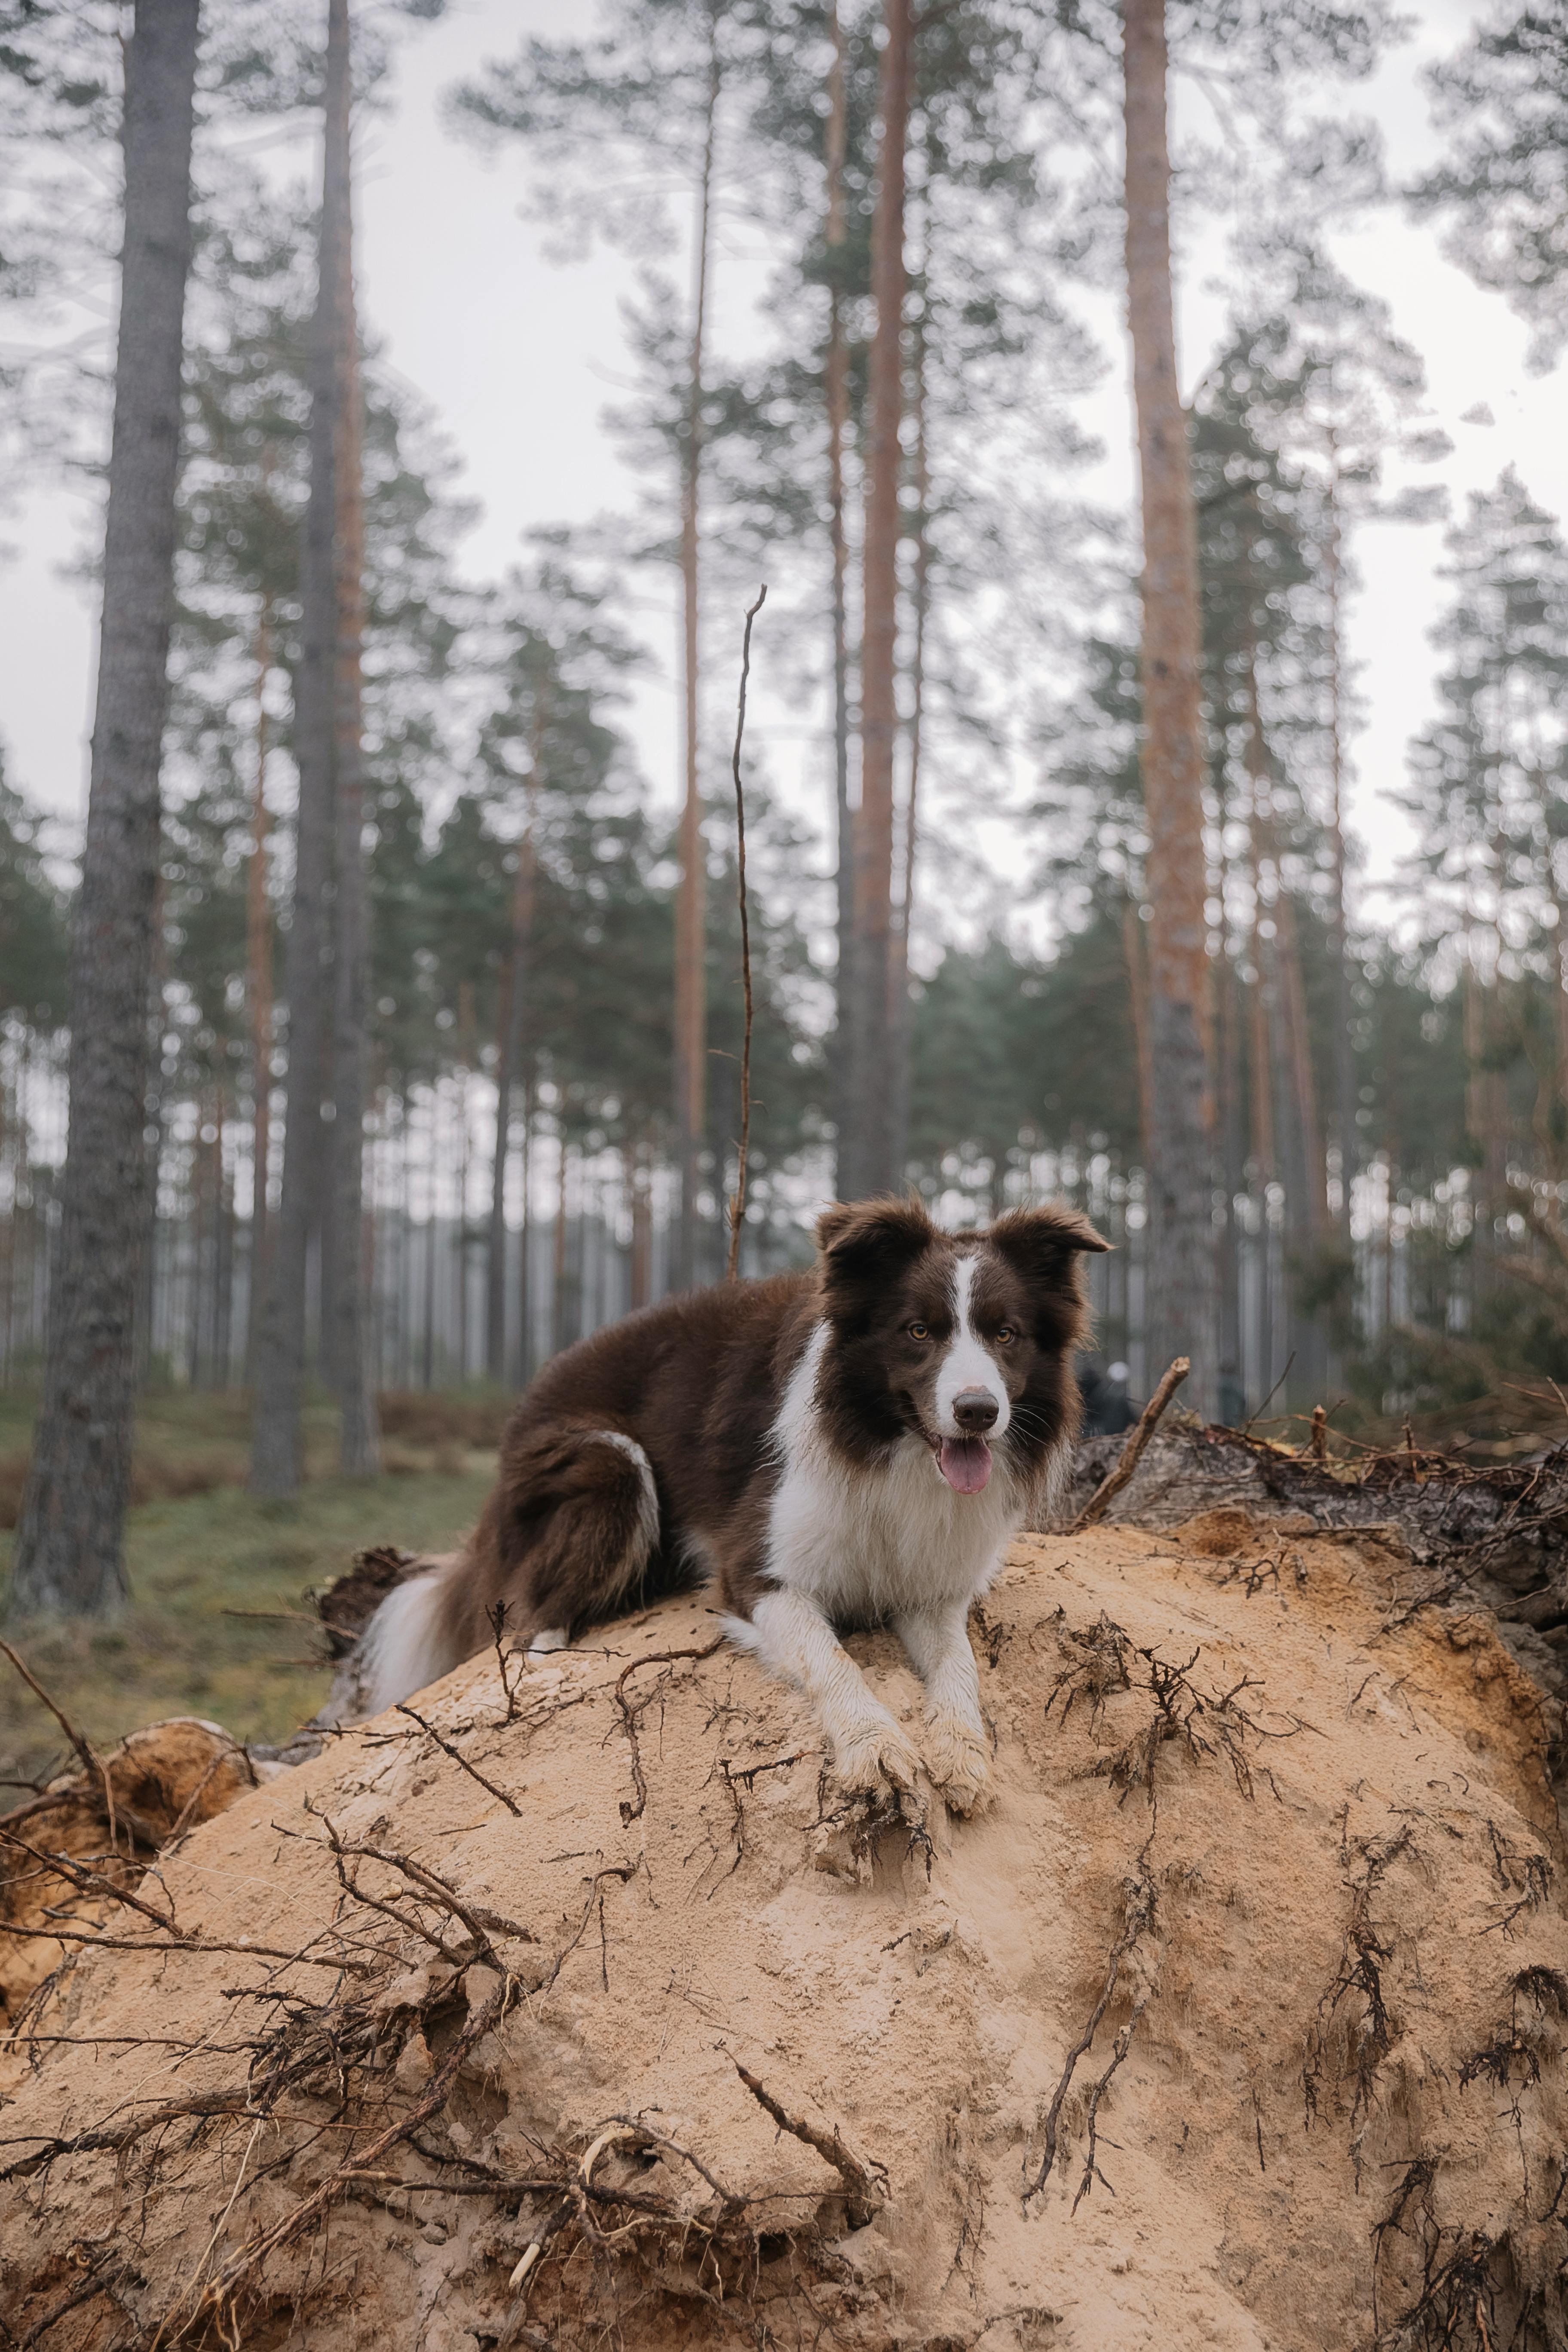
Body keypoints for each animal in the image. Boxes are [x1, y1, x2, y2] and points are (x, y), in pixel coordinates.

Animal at [345, 1194, 1105, 1816]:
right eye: (920, 1331)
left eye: (1005, 1334)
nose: (978, 1412)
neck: (891, 1448)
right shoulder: (757, 1571)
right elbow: (832, 1659)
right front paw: (875, 1749)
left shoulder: (931, 1585)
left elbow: (958, 1667)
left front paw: (962, 1756)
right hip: (612, 1469)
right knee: (531, 1621)